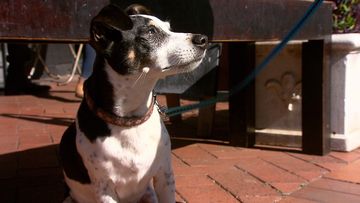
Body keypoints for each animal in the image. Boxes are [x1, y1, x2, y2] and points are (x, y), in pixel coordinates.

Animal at [59, 3, 208, 203]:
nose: (203, 39)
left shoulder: (165, 175)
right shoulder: (105, 188)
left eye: (169, 28)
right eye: (151, 32)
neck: (130, 120)